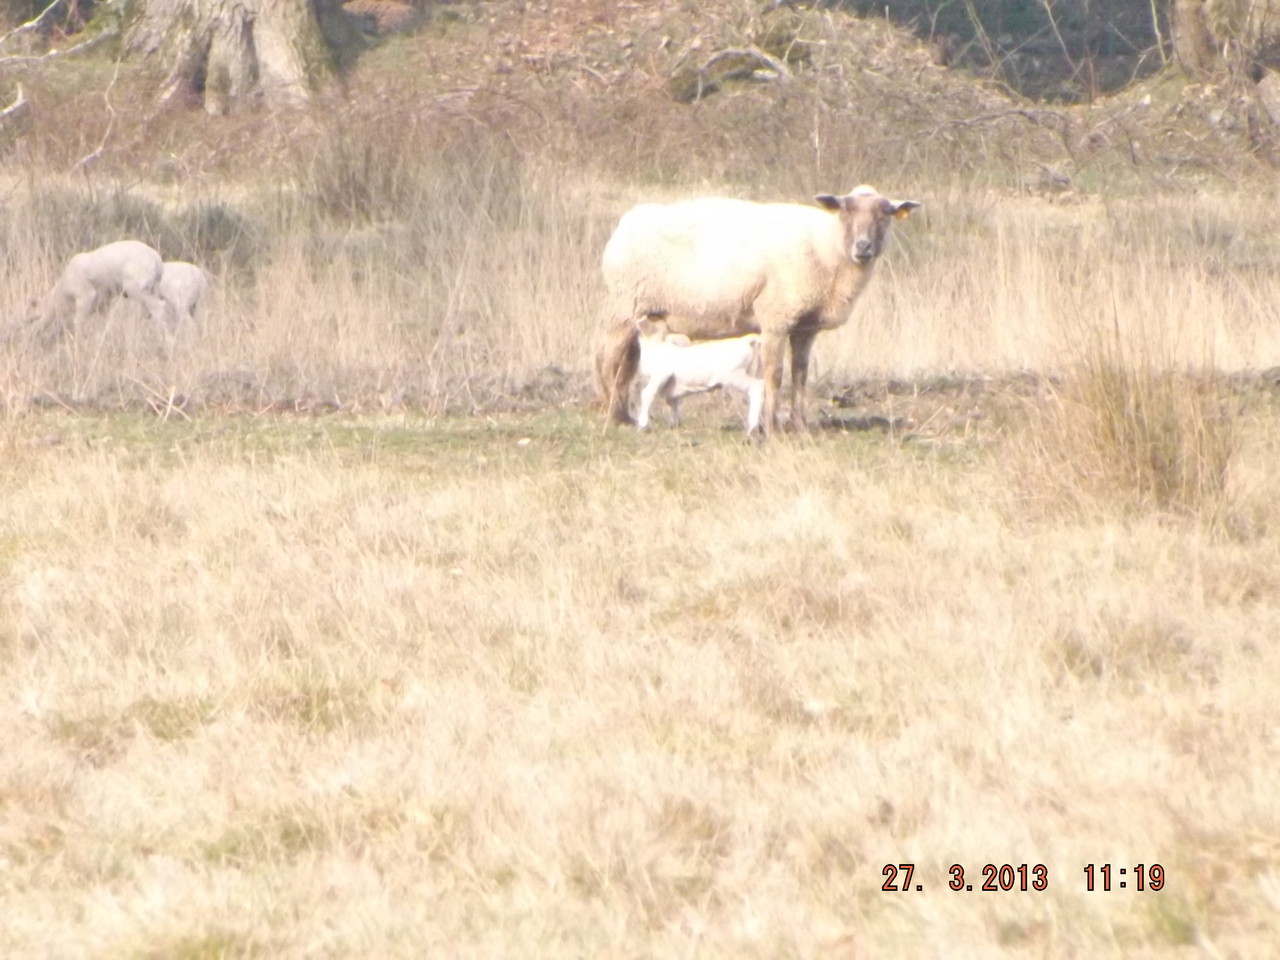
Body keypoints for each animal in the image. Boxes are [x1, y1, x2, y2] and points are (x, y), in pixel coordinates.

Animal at [634, 316, 762, 435]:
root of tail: (745, 341)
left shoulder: (660, 375)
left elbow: (647, 394)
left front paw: (642, 425)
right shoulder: (672, 388)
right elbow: (672, 402)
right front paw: (674, 424)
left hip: (735, 376)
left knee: (757, 387)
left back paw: (751, 427)